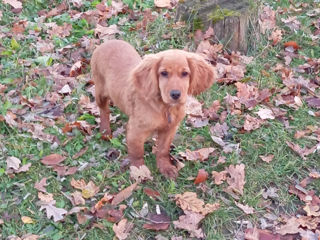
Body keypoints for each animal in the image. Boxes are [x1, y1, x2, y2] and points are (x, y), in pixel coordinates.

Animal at [90, 39, 215, 178]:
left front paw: (165, 167)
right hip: (100, 91)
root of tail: (108, 41)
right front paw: (139, 171)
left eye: (185, 73)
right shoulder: (136, 132)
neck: (165, 108)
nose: (175, 94)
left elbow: (163, 150)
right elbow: (137, 153)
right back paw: (105, 131)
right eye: (164, 73)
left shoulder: (169, 129)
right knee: (104, 110)